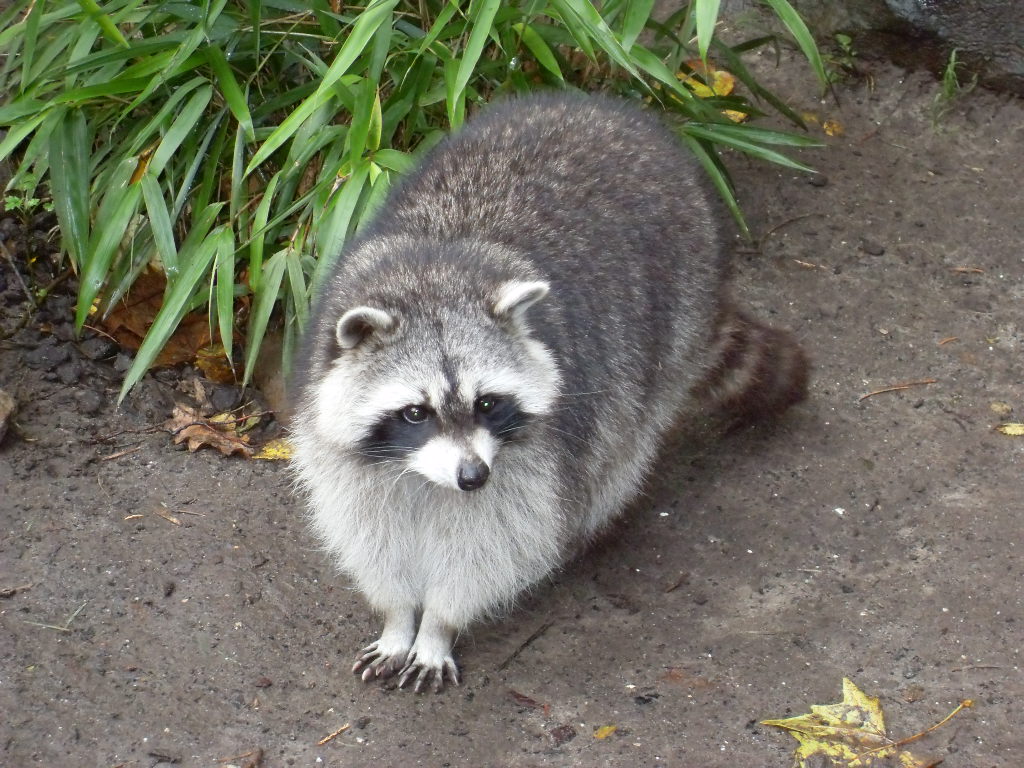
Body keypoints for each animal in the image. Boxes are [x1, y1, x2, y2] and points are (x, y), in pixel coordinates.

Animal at [290, 92, 807, 693]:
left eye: (487, 403)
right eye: (415, 412)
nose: (473, 477)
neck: (433, 280)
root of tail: (608, 109)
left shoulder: (538, 454)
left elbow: (495, 545)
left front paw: (439, 625)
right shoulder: (339, 440)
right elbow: (368, 531)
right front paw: (398, 618)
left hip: (677, 305)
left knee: (622, 445)